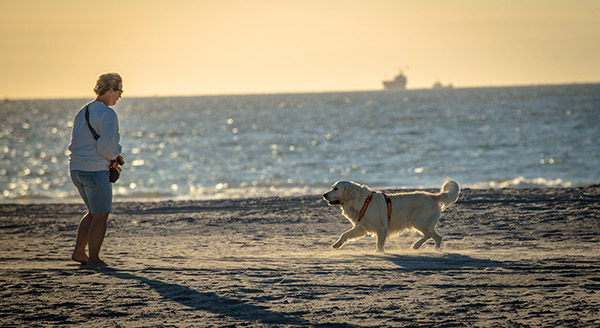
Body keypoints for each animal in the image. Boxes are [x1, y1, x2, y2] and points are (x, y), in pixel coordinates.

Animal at [324, 179, 460, 251]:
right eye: (332, 187)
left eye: (336, 189)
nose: (324, 195)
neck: (361, 201)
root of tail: (433, 196)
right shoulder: (361, 227)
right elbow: (344, 234)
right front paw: (337, 244)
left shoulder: (381, 229)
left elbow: (379, 244)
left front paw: (378, 253)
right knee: (437, 237)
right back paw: (434, 250)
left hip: (418, 221)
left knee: (430, 235)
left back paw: (416, 245)